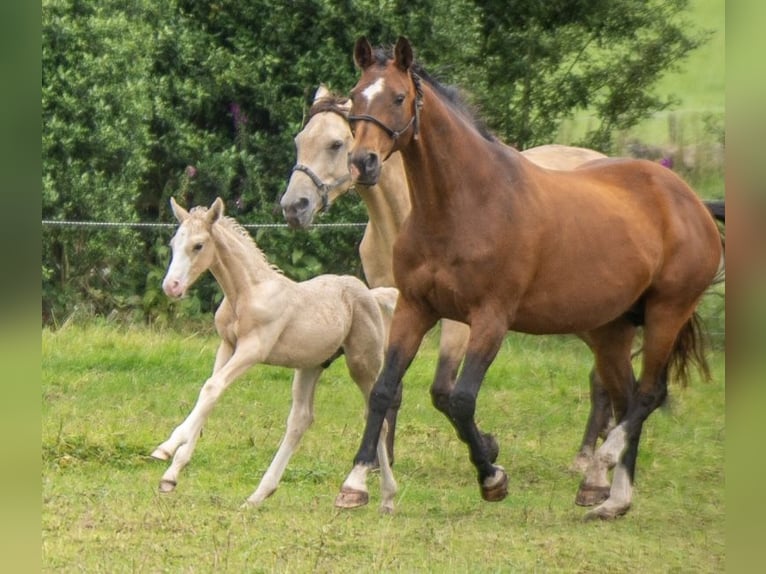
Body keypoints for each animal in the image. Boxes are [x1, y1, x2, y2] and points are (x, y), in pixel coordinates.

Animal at [154, 197, 400, 512]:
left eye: (198, 245)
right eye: (173, 243)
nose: (171, 287)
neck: (246, 292)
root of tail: (372, 294)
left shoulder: (253, 348)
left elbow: (212, 388)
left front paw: (166, 448)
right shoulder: (227, 346)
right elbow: (211, 392)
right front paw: (171, 475)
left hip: (363, 363)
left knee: (376, 417)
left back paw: (382, 496)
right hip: (311, 365)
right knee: (300, 421)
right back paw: (260, 494)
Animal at [338, 37, 728, 520]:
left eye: (397, 97)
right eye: (354, 96)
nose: (362, 162)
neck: (466, 204)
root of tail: (690, 200)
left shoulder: (490, 319)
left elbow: (461, 399)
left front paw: (492, 477)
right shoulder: (415, 308)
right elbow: (383, 389)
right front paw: (355, 483)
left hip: (665, 314)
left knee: (648, 395)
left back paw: (602, 465)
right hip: (610, 330)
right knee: (625, 394)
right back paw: (608, 497)